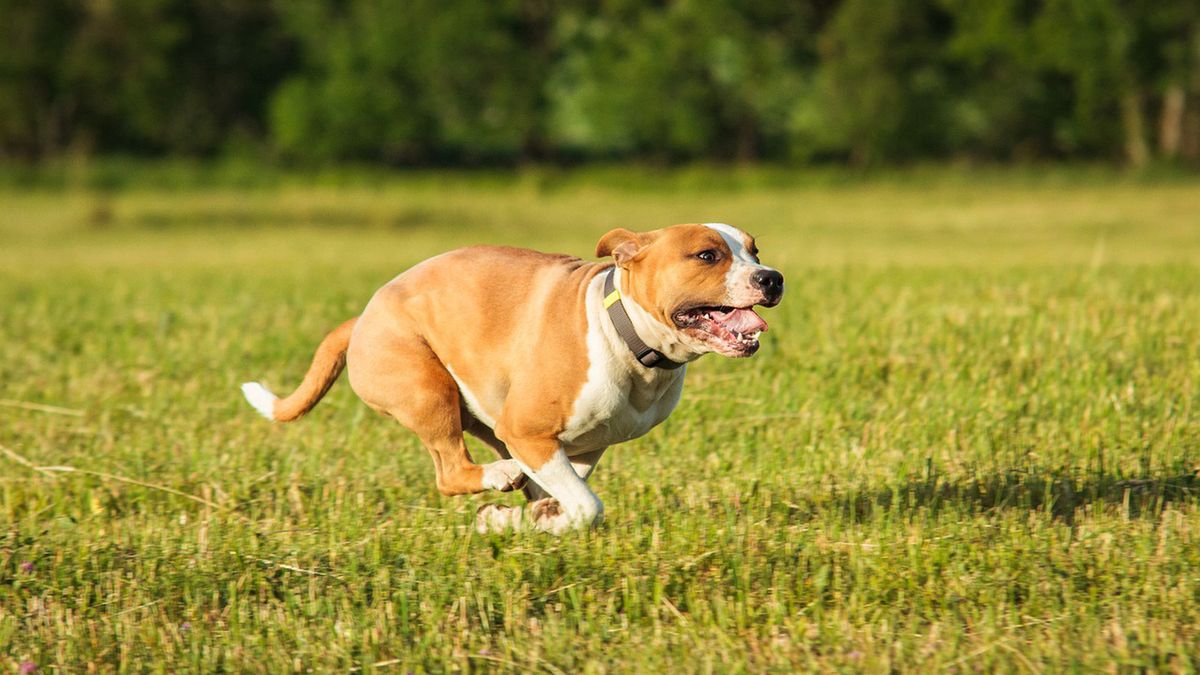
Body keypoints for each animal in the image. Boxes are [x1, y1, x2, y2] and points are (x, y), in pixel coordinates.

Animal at [243, 223, 787, 533]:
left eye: (756, 252)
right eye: (707, 255)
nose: (773, 277)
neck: (626, 333)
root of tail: (361, 320)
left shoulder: (584, 446)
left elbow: (564, 494)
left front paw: (520, 521)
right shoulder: (529, 433)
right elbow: (586, 506)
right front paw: (539, 519)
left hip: (483, 414)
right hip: (428, 390)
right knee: (450, 471)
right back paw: (497, 476)